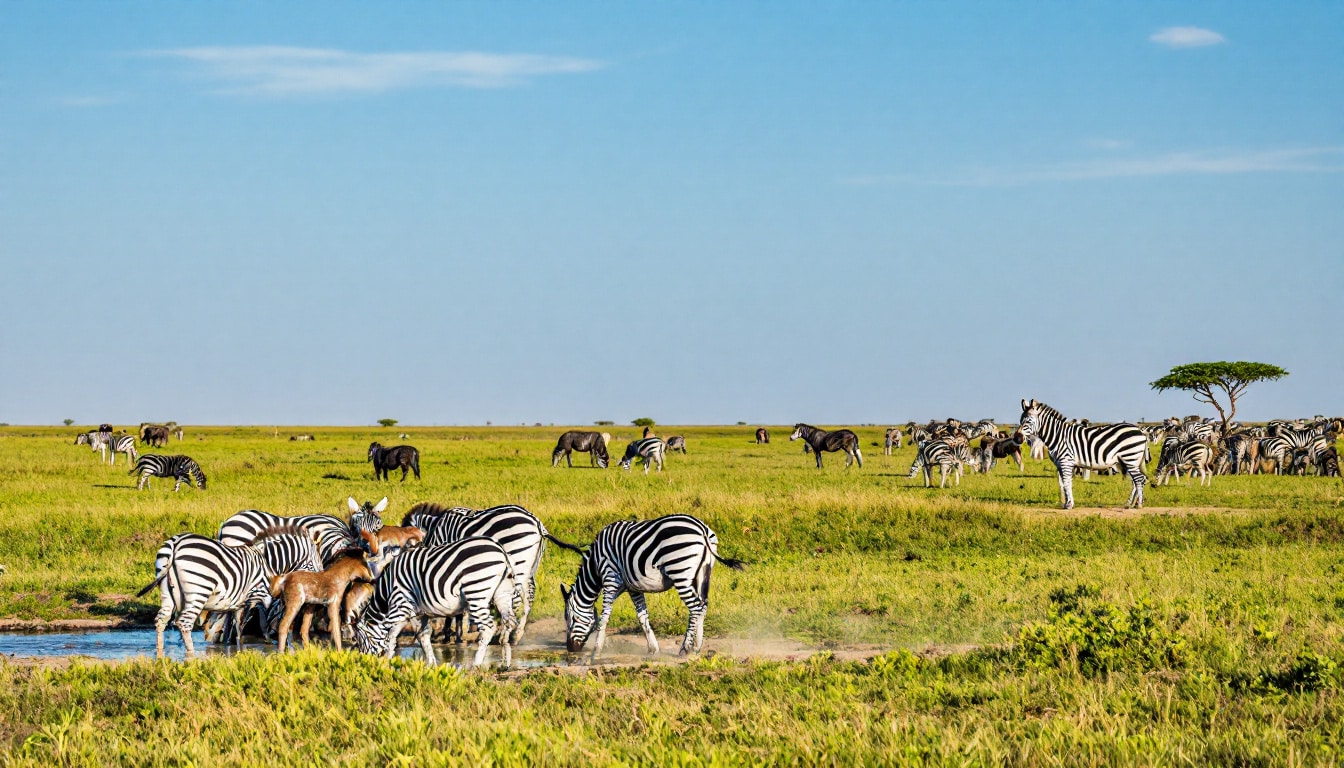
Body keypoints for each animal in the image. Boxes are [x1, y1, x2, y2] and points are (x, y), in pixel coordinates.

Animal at [136, 529, 319, 661]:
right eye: (315, 560)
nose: (319, 578)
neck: (267, 562)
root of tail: (175, 544)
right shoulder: (252, 596)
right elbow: (244, 623)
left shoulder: (237, 599)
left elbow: (235, 623)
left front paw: (232, 647)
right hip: (199, 590)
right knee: (184, 623)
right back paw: (191, 654)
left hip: (167, 592)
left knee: (161, 621)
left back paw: (160, 653)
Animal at [352, 535, 518, 667]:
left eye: (359, 641)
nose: (363, 663)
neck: (387, 590)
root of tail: (501, 550)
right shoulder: (419, 612)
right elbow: (422, 635)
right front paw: (431, 664)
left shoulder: (401, 605)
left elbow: (389, 635)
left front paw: (385, 663)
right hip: (503, 595)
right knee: (509, 621)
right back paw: (506, 662)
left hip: (476, 592)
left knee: (489, 627)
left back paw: (476, 664)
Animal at [400, 505, 585, 642]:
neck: (435, 531)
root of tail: (537, 524)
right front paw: (459, 631)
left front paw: (452, 632)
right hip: (530, 565)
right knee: (529, 595)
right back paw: (517, 633)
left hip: (516, 560)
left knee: (515, 597)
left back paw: (504, 634)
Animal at [559, 513, 747, 659]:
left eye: (571, 619)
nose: (570, 649)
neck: (595, 565)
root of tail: (702, 530)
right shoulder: (633, 587)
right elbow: (642, 616)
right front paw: (653, 648)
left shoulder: (610, 578)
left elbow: (604, 617)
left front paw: (596, 651)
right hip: (702, 574)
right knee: (703, 605)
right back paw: (697, 647)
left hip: (680, 571)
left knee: (695, 607)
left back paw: (685, 648)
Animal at [1010, 403, 1150, 511]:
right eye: (1020, 421)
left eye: (1028, 421)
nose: (1016, 439)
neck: (1057, 436)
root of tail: (1140, 431)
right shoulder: (1061, 464)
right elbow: (1064, 484)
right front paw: (1067, 503)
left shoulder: (1066, 461)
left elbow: (1066, 483)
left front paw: (1069, 505)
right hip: (1127, 461)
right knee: (1137, 480)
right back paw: (1130, 503)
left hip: (1130, 458)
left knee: (1139, 479)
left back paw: (1138, 505)